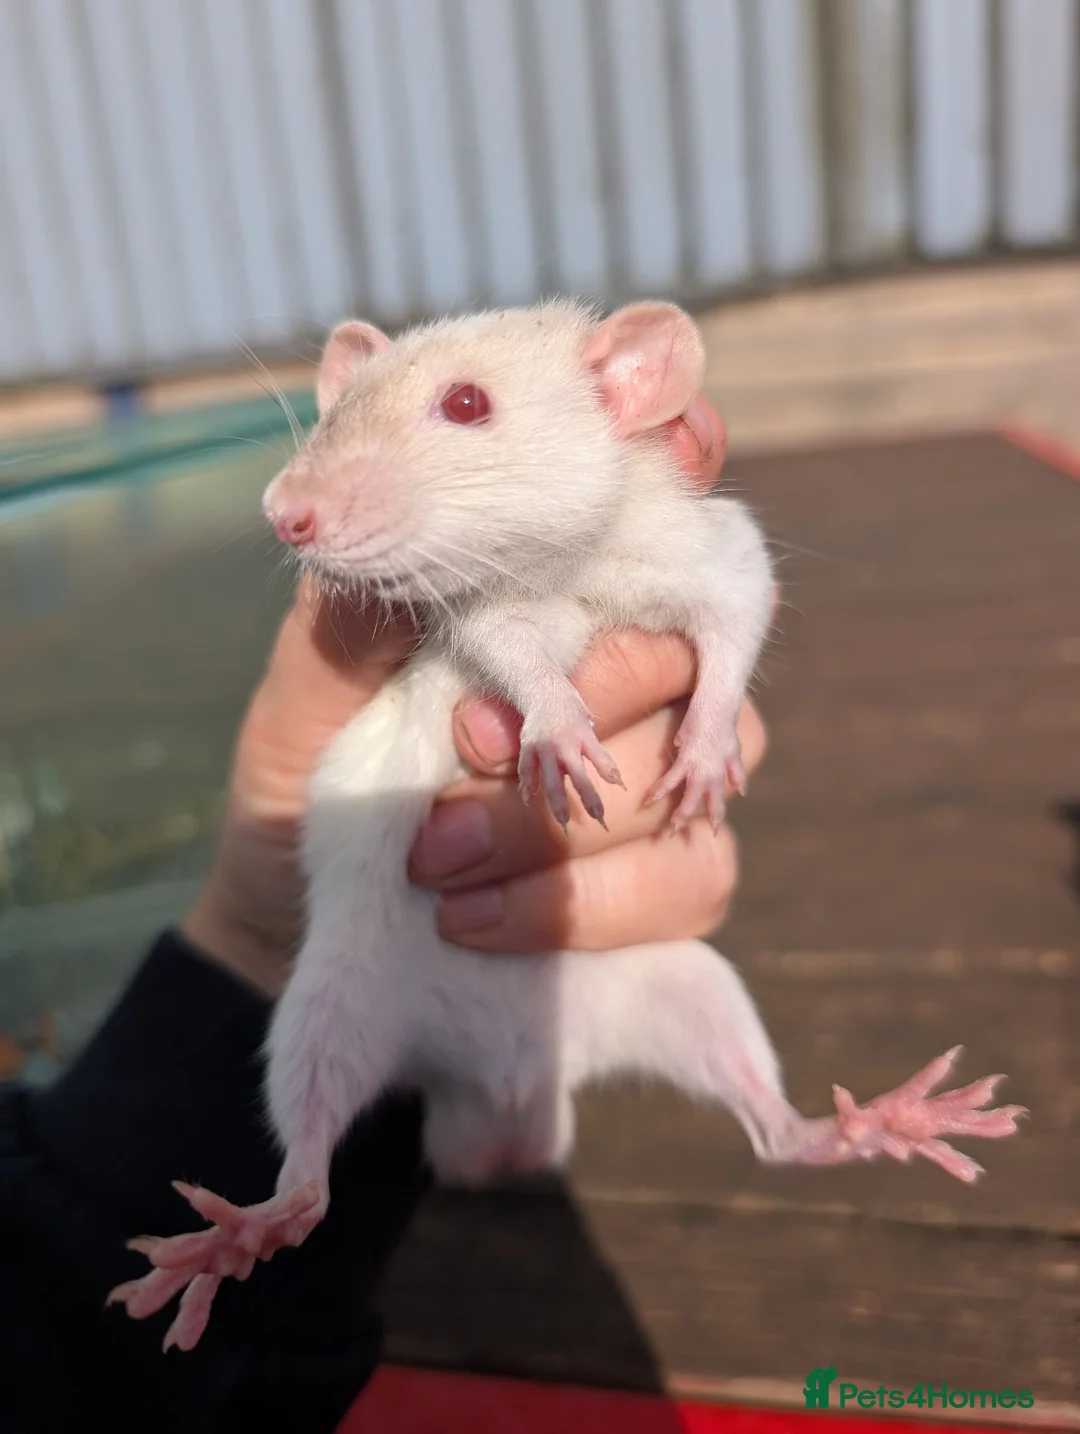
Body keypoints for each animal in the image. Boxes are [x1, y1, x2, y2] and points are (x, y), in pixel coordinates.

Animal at [109, 299, 1025, 1351]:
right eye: (336, 409)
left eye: (467, 403)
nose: (286, 512)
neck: (574, 567)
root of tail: (501, 1096)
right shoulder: (488, 610)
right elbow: (509, 650)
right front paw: (554, 726)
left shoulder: (697, 544)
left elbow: (740, 606)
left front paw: (705, 744)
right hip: (334, 1001)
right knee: (309, 1164)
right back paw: (238, 1237)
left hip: (678, 985)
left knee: (772, 1130)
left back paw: (874, 1123)